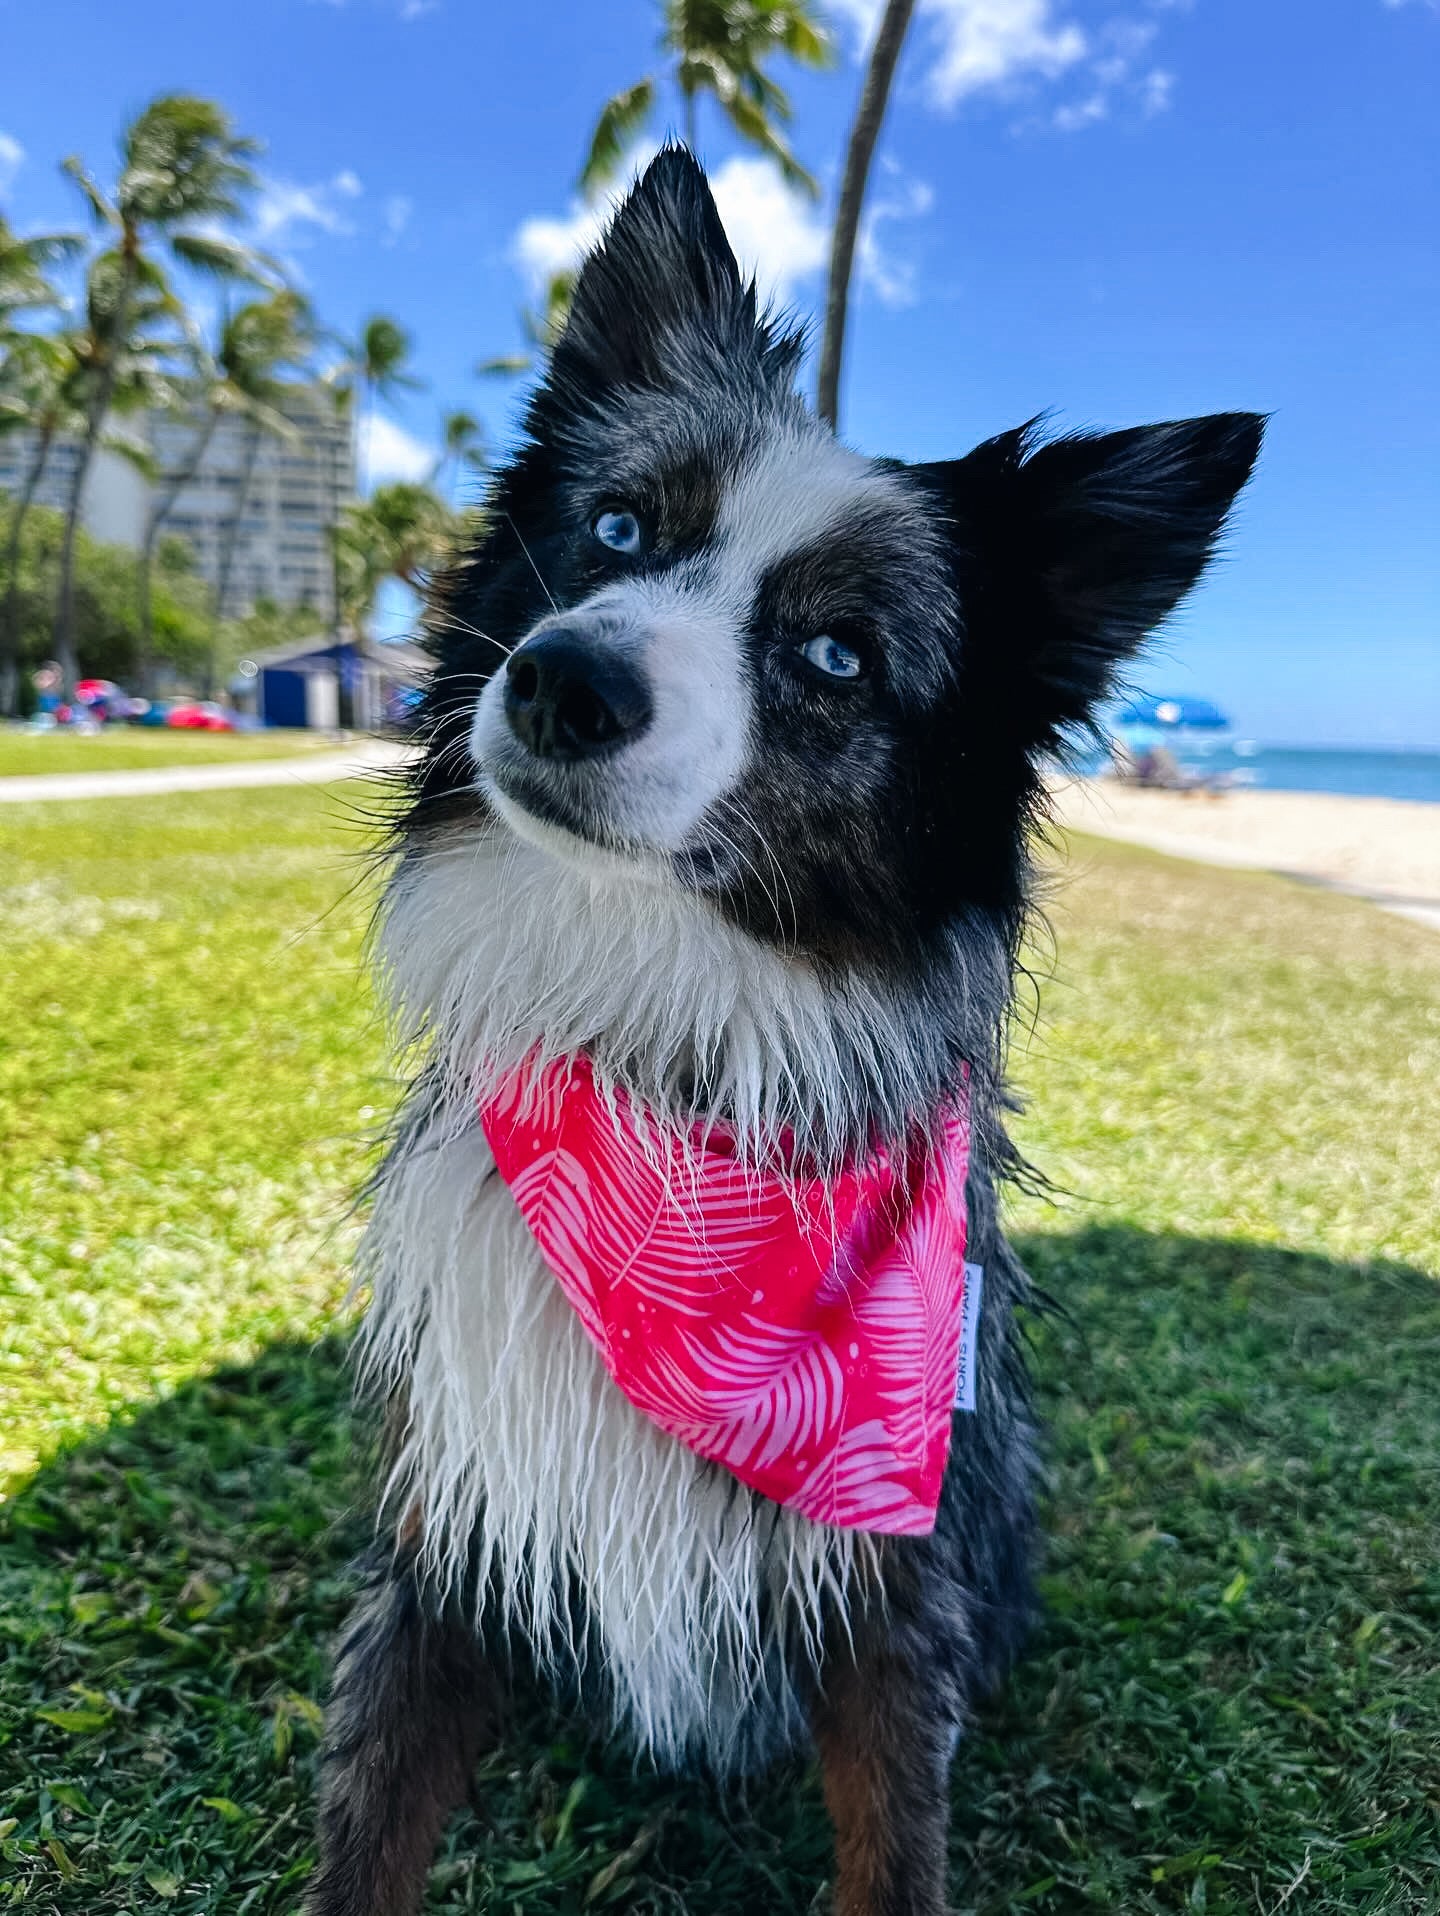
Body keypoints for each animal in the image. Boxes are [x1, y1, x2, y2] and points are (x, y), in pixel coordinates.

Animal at [304, 141, 1256, 1908]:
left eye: (834, 653)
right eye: (614, 525)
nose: (562, 682)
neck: (673, 1079)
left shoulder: (894, 1583)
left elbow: (895, 1846)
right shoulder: (450, 1524)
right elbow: (369, 1835)